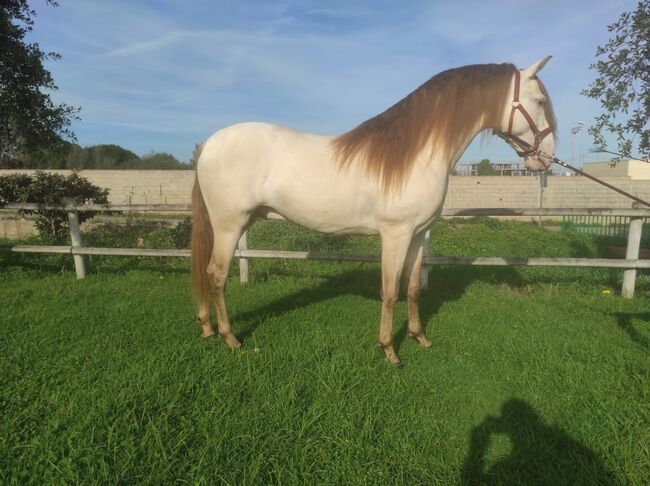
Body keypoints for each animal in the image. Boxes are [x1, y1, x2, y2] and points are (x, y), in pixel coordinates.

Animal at [190, 55, 556, 362]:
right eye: (539, 101)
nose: (548, 156)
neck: (417, 155)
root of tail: (209, 144)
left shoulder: (418, 235)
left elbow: (412, 288)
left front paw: (419, 337)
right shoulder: (395, 235)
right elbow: (390, 290)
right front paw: (390, 350)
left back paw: (207, 328)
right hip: (229, 226)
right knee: (216, 275)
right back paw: (230, 337)